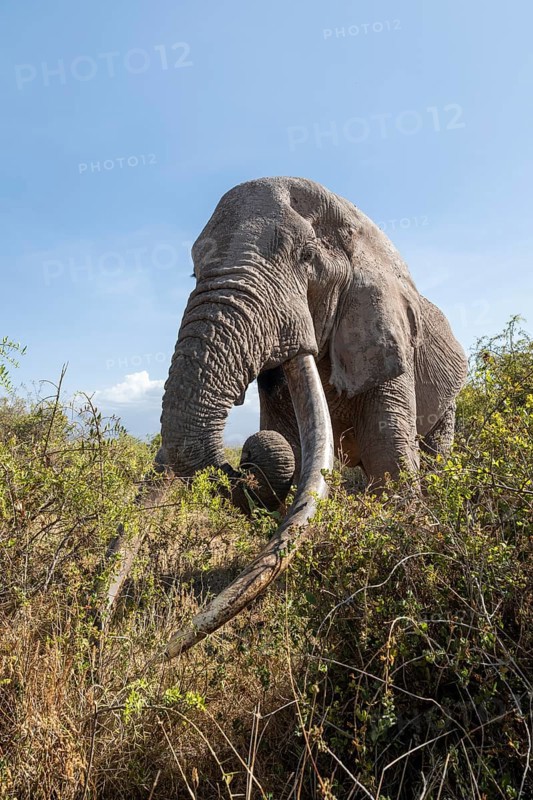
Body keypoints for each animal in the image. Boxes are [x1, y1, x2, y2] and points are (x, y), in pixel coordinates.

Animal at [110, 177, 468, 658]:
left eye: (306, 257)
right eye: (194, 271)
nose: (243, 459)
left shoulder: (386, 339)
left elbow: (389, 459)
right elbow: (293, 449)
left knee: (434, 452)